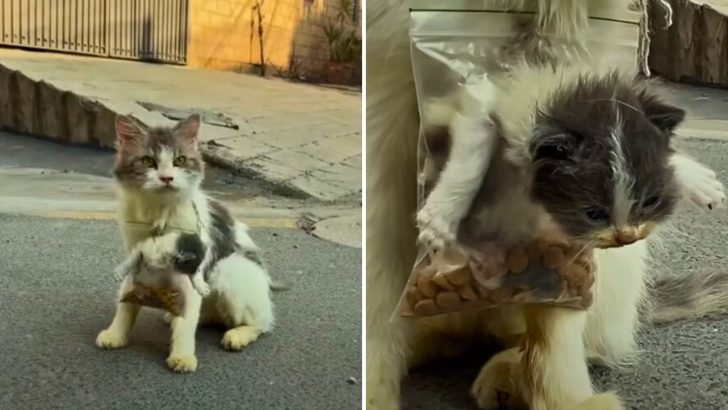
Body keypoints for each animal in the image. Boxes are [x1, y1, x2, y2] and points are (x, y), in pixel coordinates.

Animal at [95, 113, 278, 374]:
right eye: (148, 161)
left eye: (179, 160)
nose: (167, 178)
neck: (160, 214)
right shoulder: (135, 255)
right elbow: (126, 304)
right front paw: (115, 334)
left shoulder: (191, 268)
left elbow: (186, 324)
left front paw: (182, 356)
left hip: (230, 269)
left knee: (262, 324)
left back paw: (237, 335)